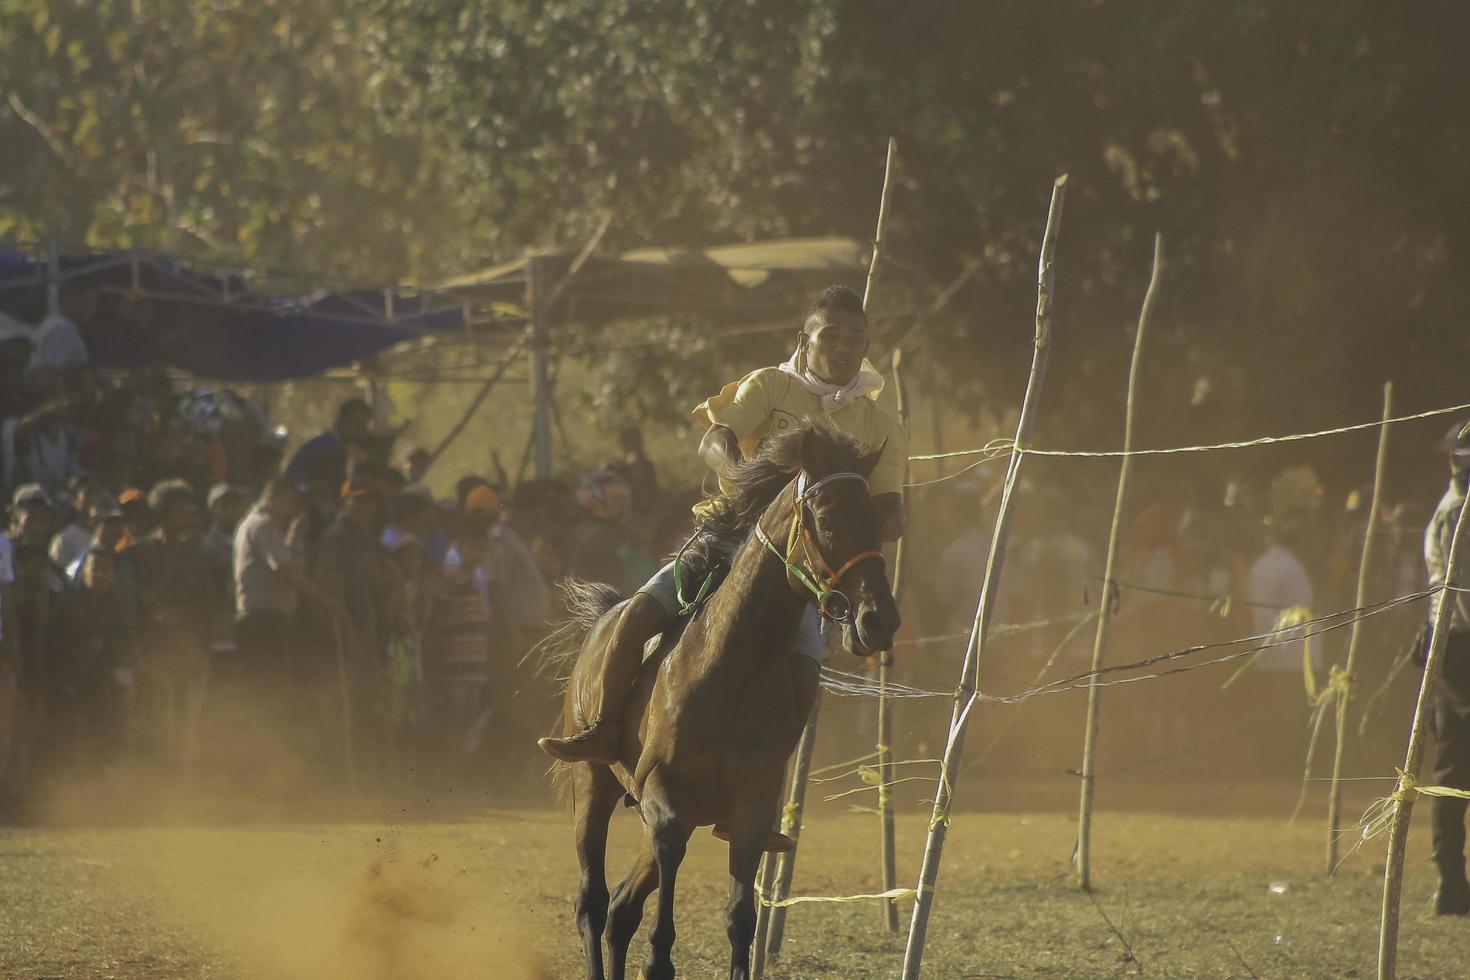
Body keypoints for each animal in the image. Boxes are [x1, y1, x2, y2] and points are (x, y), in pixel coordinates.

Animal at [540, 426, 899, 980]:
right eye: (827, 519)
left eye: (876, 521)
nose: (879, 618)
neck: (731, 662)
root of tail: (602, 619)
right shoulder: (665, 796)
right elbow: (665, 894)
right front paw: (659, 957)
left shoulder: (749, 810)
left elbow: (739, 919)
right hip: (592, 784)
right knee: (593, 902)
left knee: (621, 909)